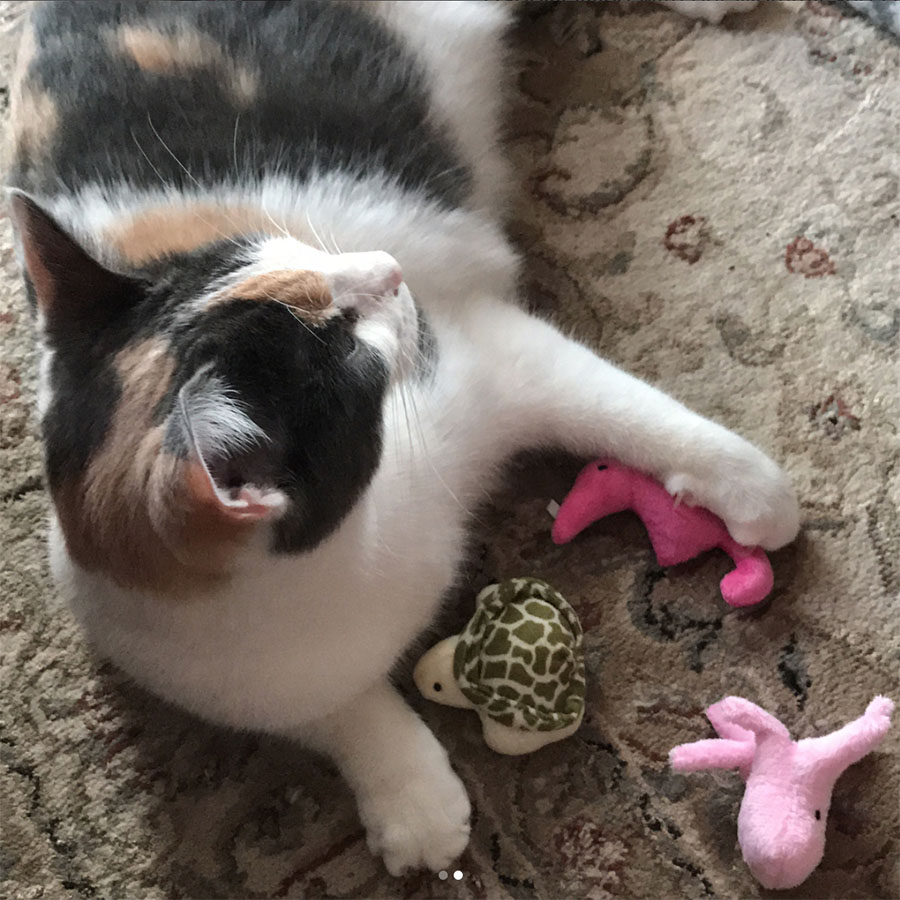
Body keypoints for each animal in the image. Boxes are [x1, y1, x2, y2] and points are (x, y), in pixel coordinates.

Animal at [5, 0, 796, 876]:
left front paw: (756, 491)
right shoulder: (233, 677)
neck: (357, 554)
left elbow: (627, 411)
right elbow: (341, 708)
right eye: (339, 342)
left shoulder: (488, 355)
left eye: (277, 249)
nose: (386, 269)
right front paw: (412, 800)